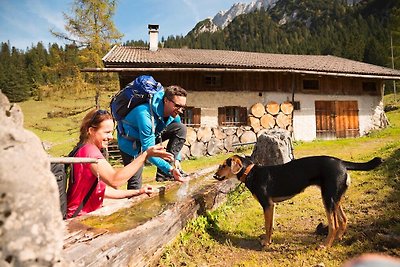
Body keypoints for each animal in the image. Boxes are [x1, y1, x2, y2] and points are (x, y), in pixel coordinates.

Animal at [214, 155, 382, 249]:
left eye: (223, 165)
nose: (215, 176)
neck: (251, 173)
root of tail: (341, 162)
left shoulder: (267, 205)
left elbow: (267, 226)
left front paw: (266, 243)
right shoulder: (272, 206)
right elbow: (271, 225)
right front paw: (268, 240)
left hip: (328, 199)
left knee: (333, 225)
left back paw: (326, 245)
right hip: (335, 198)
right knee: (344, 219)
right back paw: (338, 238)